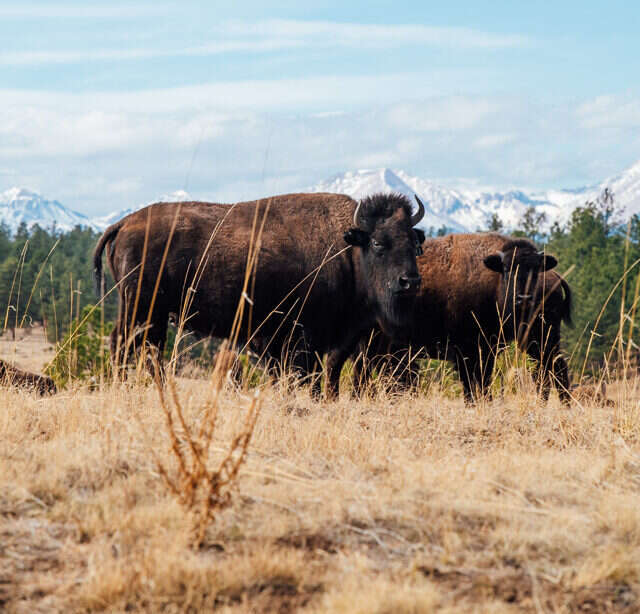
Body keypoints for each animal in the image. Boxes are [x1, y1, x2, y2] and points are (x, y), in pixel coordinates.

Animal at [92, 190, 424, 400]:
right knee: (125, 345)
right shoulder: (302, 337)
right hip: (141, 309)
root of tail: (124, 223)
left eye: (414, 242)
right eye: (378, 243)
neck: (348, 250)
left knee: (144, 350)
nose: (410, 281)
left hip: (148, 314)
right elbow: (306, 374)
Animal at [348, 233, 572, 406]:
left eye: (535, 270)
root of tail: (555, 276)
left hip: (542, 338)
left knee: (553, 368)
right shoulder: (475, 350)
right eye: (507, 269)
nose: (524, 298)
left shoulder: (476, 350)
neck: (493, 280)